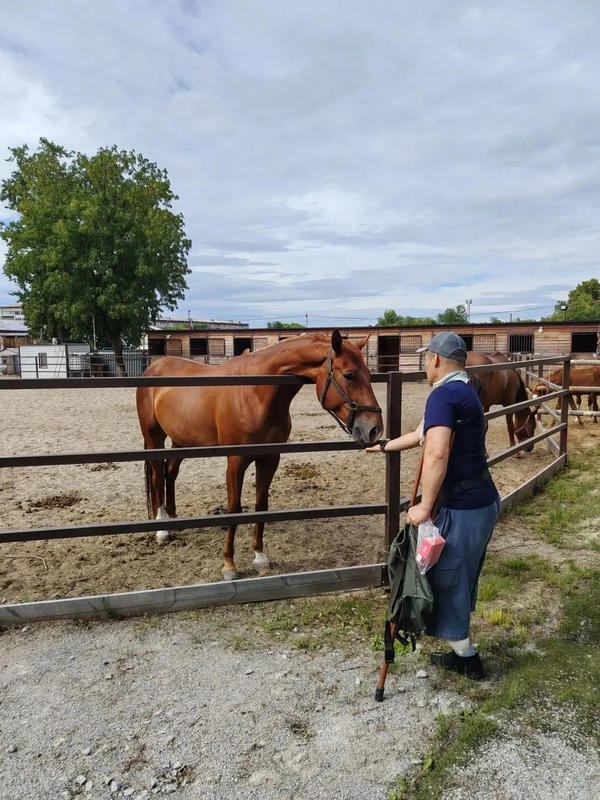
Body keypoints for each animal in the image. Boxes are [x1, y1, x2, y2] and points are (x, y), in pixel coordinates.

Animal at [136, 330, 383, 579]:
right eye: (349, 375)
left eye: (369, 374)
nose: (373, 429)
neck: (255, 393)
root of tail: (153, 367)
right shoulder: (235, 462)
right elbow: (234, 509)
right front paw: (229, 564)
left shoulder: (270, 458)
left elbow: (261, 505)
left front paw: (260, 557)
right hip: (154, 439)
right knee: (157, 477)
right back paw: (162, 529)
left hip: (181, 440)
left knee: (170, 472)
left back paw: (174, 519)